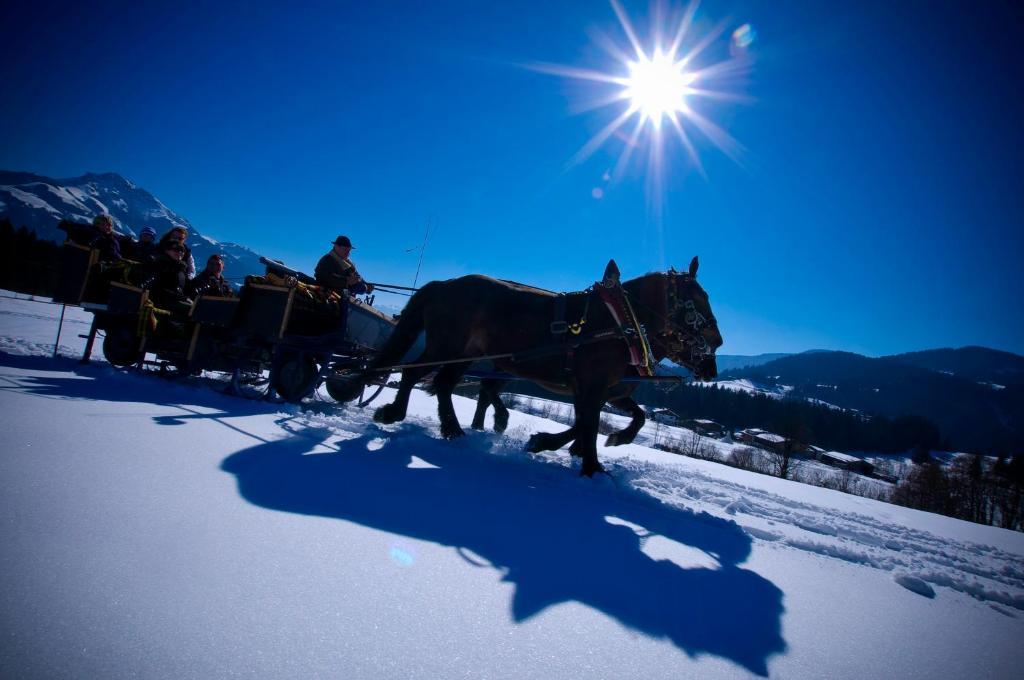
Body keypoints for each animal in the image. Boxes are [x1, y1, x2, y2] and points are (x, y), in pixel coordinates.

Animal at [342, 258, 720, 475]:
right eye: (696, 301)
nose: (715, 348)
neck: (619, 322)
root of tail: (444, 285)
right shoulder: (592, 386)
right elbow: (587, 424)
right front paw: (591, 467)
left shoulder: (606, 390)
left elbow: (627, 418)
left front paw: (596, 442)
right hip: (446, 346)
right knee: (415, 374)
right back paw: (395, 413)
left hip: (465, 354)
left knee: (446, 385)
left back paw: (453, 430)